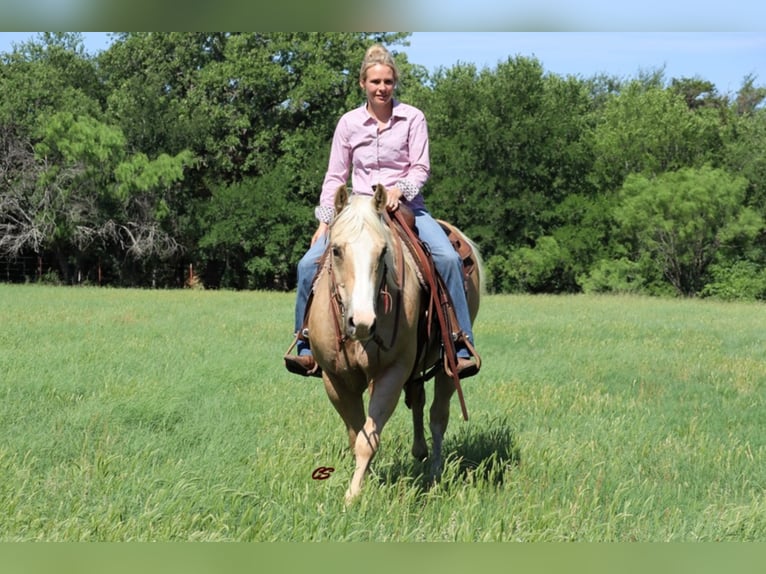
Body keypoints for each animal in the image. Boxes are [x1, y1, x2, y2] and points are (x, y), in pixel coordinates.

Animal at [308, 184, 484, 504]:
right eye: (336, 250)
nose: (362, 322)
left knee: (438, 416)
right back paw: (420, 452)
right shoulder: (335, 379)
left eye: (383, 252)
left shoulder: (391, 372)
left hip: (449, 366)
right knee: (418, 400)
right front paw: (363, 482)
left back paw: (434, 472)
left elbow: (368, 439)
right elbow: (357, 435)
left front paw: (352, 497)